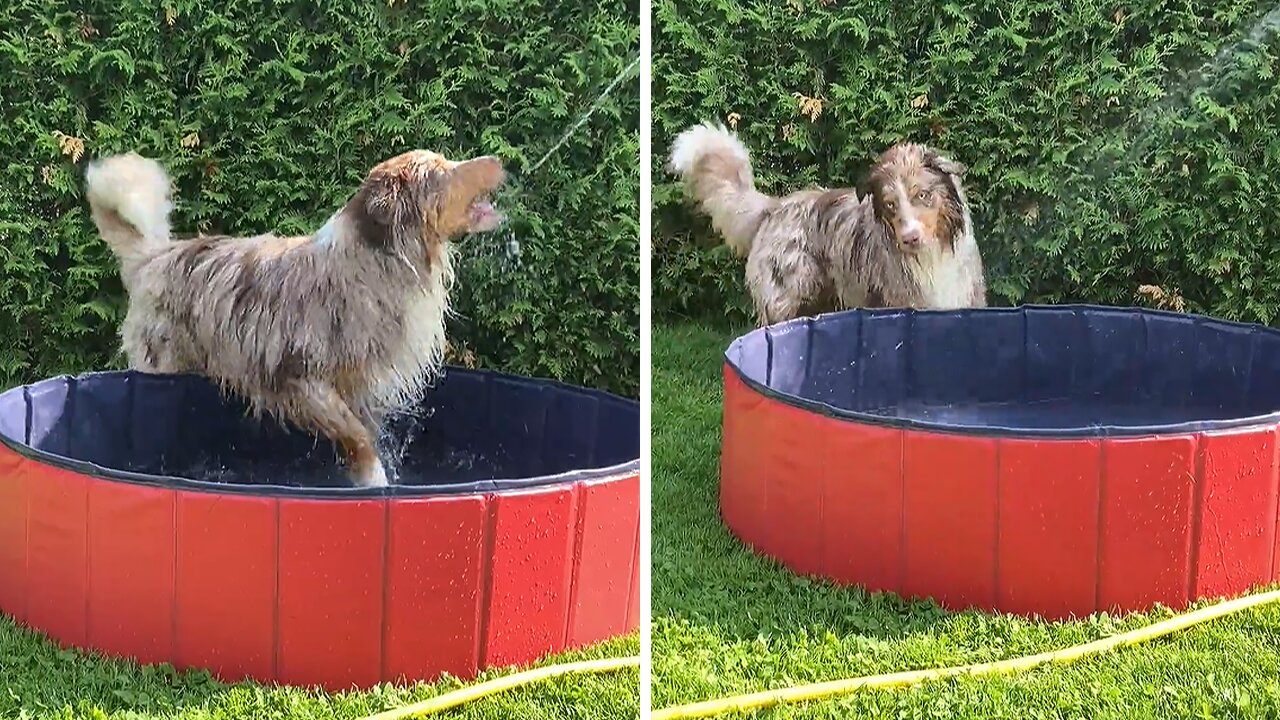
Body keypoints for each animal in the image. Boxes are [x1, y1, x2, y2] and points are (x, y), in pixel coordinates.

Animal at [81, 147, 504, 484]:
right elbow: (357, 436)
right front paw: (375, 482)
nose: (499, 160)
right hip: (159, 364)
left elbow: (362, 433)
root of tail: (154, 255)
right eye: (438, 174)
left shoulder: (361, 387)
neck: (376, 261)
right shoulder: (301, 379)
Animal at [665, 121, 983, 324]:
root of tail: (774, 208)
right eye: (890, 204)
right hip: (784, 302)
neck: (932, 256)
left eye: (922, 195)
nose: (910, 238)